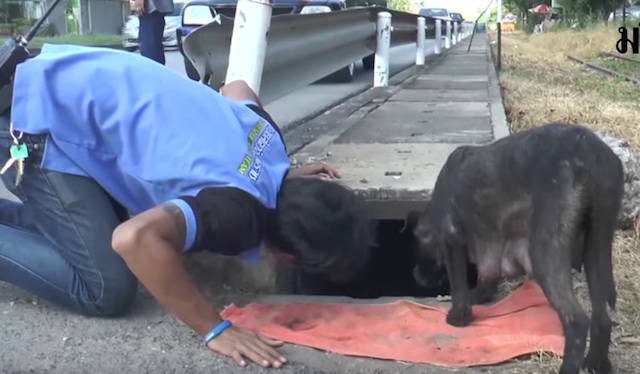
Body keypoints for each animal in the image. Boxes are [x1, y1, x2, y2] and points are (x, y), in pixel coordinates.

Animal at [408, 123, 624, 374]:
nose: (416, 277)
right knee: (602, 316)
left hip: (546, 252)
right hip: (597, 244)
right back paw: (595, 364)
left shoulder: (452, 239)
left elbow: (458, 286)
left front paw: (458, 317)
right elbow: (486, 278)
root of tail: (589, 150)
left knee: (577, 320)